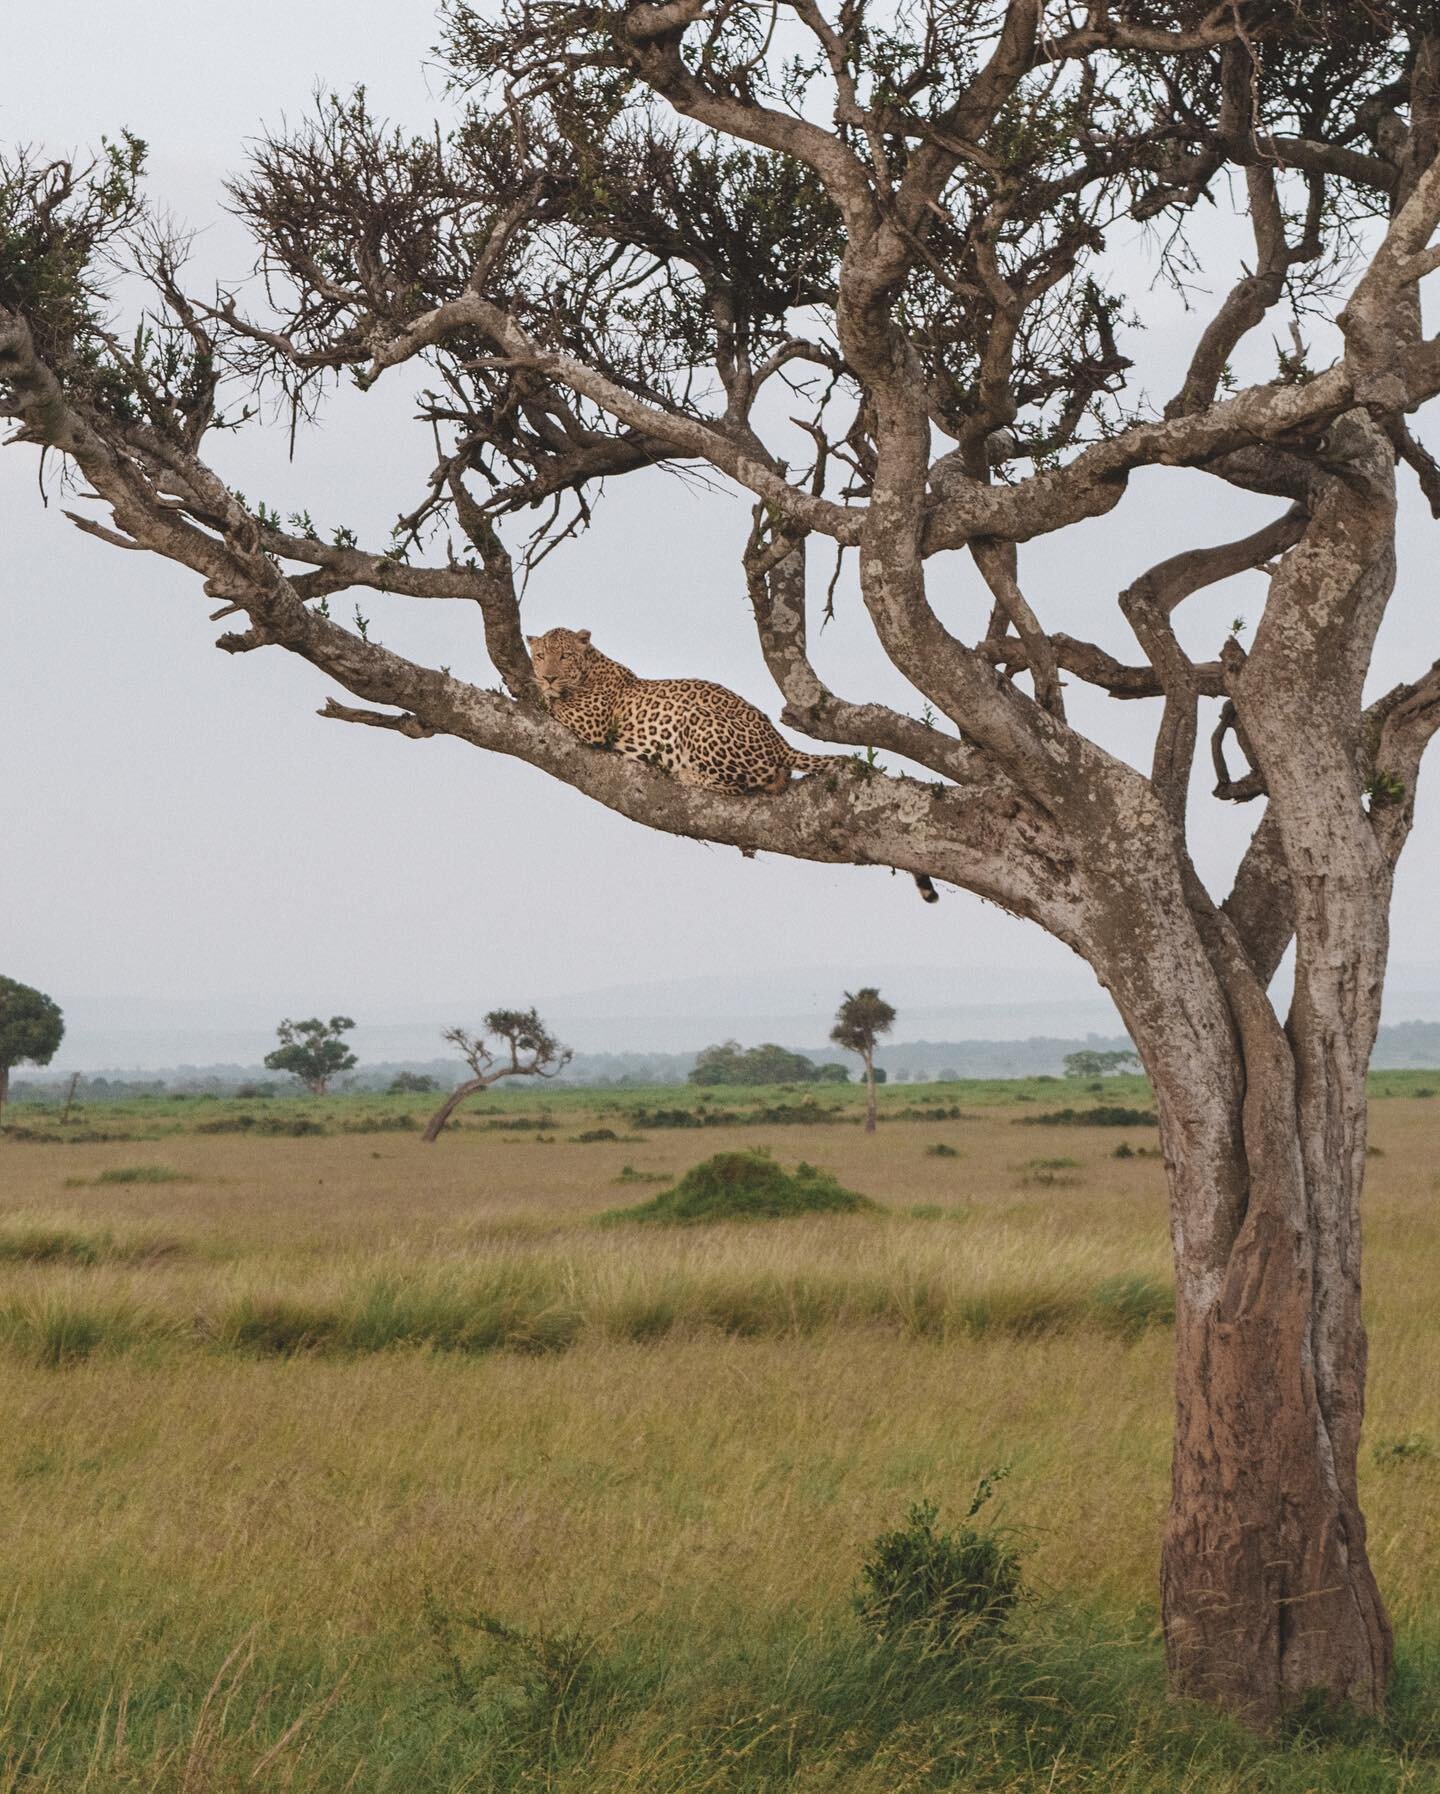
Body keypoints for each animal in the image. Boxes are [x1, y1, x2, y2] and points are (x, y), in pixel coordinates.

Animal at [523, 631, 939, 911]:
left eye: (563, 656)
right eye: (540, 655)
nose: (547, 675)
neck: (592, 667)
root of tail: (778, 741)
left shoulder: (591, 722)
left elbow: (553, 705)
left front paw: (538, 691)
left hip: (699, 722)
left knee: (746, 785)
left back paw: (687, 774)